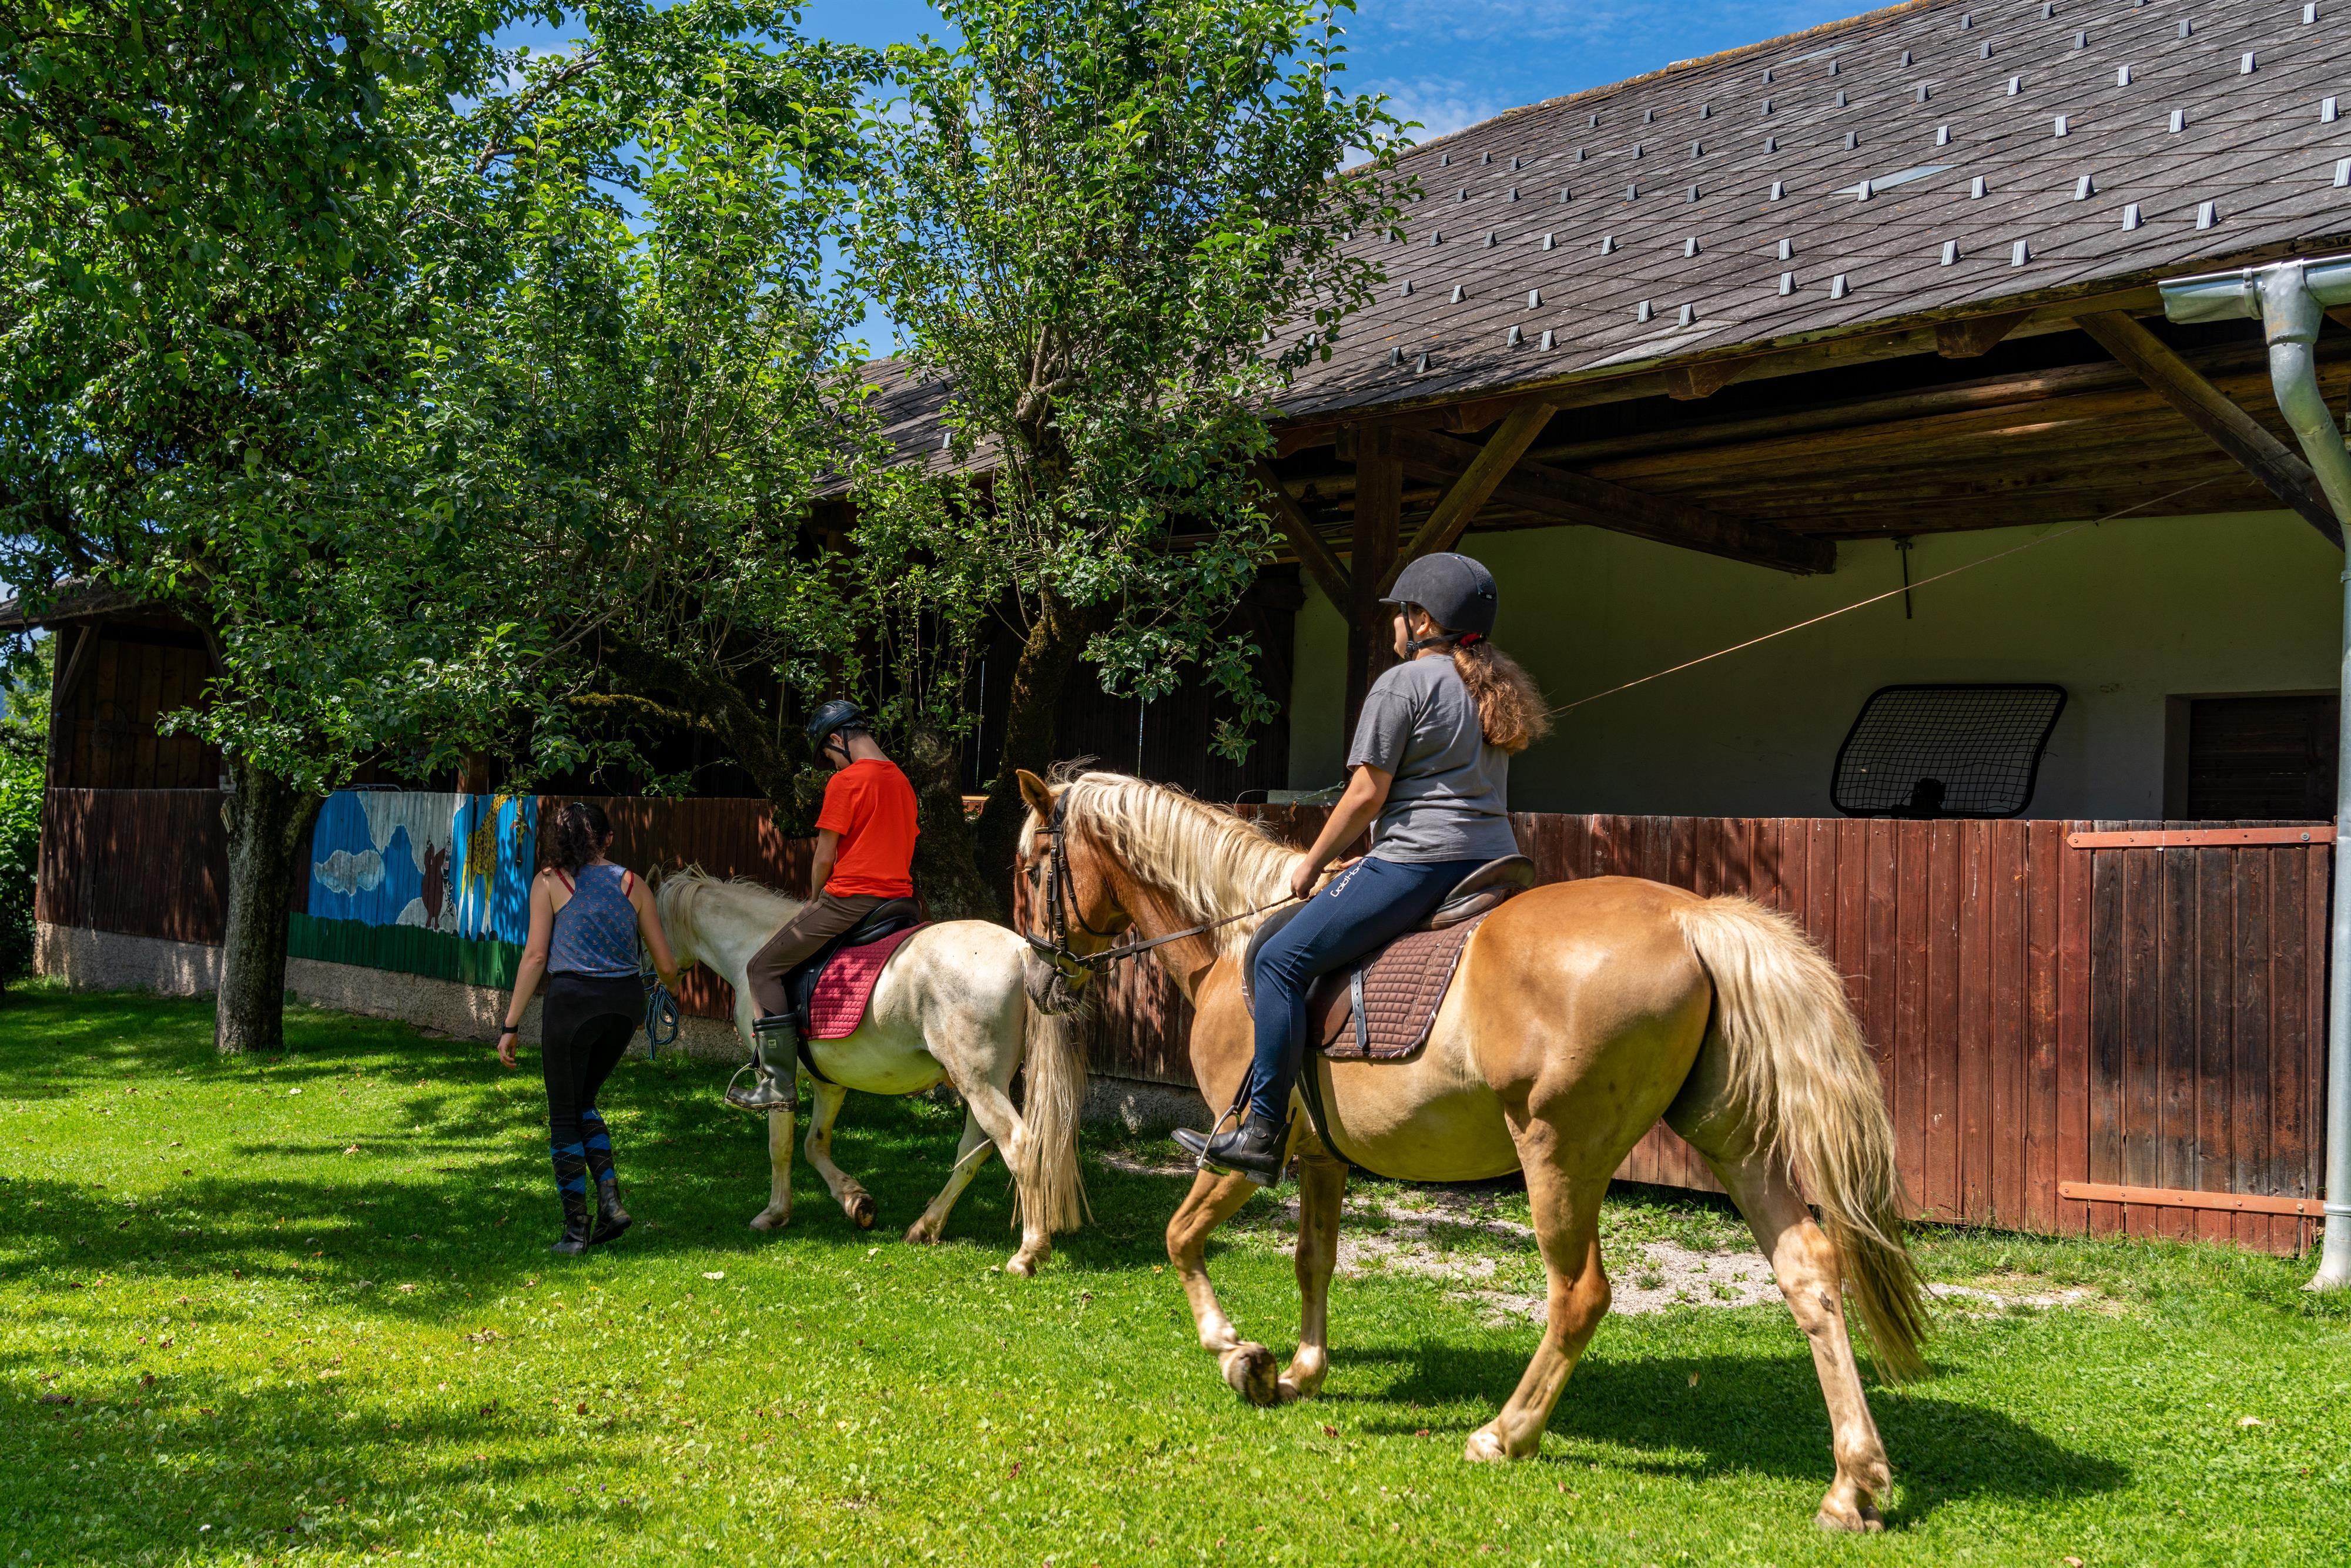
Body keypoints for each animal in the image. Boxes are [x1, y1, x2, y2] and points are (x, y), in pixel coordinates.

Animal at [655, 868, 1087, 1276]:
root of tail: (1018, 950)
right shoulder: (829, 1084)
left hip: (980, 1085)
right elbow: (814, 1145)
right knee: (972, 1153)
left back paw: (1028, 1253)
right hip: (981, 1085)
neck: (753, 939)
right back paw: (926, 1226)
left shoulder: (777, 1081)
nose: (656, 980)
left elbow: (781, 1148)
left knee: (1017, 1146)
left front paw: (776, 1213)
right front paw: (855, 1202)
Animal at [1014, 769, 1928, 1531]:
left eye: (1030, 870)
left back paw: (1504, 1433)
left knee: (1579, 1296)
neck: (1235, 949)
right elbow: (1314, 1259)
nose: (1041, 982)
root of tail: (1692, 917)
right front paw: (1301, 1369)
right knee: (1808, 1270)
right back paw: (1852, 1485)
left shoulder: (1241, 1149)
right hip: (1731, 1142)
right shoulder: (1322, 1158)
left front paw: (1234, 1350)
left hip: (1558, 1153)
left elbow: (1180, 1237)